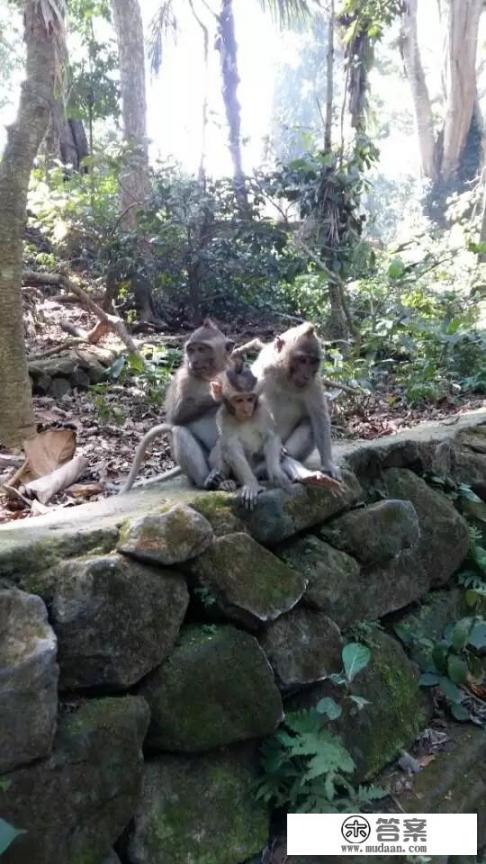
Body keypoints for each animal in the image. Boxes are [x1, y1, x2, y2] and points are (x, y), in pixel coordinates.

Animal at [121, 318, 235, 492]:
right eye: (192, 350)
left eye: (202, 349)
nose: (193, 361)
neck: (211, 375)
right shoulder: (183, 379)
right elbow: (176, 416)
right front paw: (219, 395)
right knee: (180, 433)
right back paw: (208, 481)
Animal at [206, 362, 292, 510]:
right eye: (239, 400)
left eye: (250, 399)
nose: (247, 409)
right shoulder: (223, 416)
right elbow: (231, 446)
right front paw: (251, 484)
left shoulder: (262, 411)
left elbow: (271, 437)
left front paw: (277, 475)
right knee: (222, 446)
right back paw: (221, 481)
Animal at [235, 322, 342, 486]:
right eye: (302, 360)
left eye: (313, 361)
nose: (306, 375)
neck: (285, 375)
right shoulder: (262, 370)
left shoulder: (313, 382)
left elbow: (319, 416)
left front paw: (329, 464)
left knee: (308, 424)